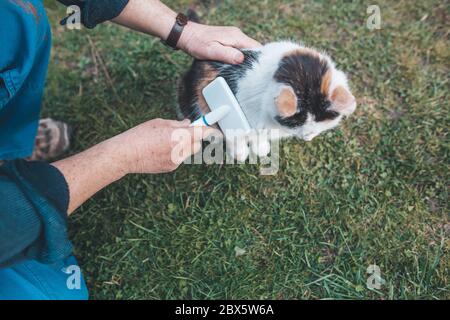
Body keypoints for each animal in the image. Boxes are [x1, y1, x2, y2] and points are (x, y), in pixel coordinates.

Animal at [178, 40, 356, 160]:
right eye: (295, 123)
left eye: (319, 124)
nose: (307, 137)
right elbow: (234, 135)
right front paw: (240, 154)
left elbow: (259, 136)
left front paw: (261, 149)